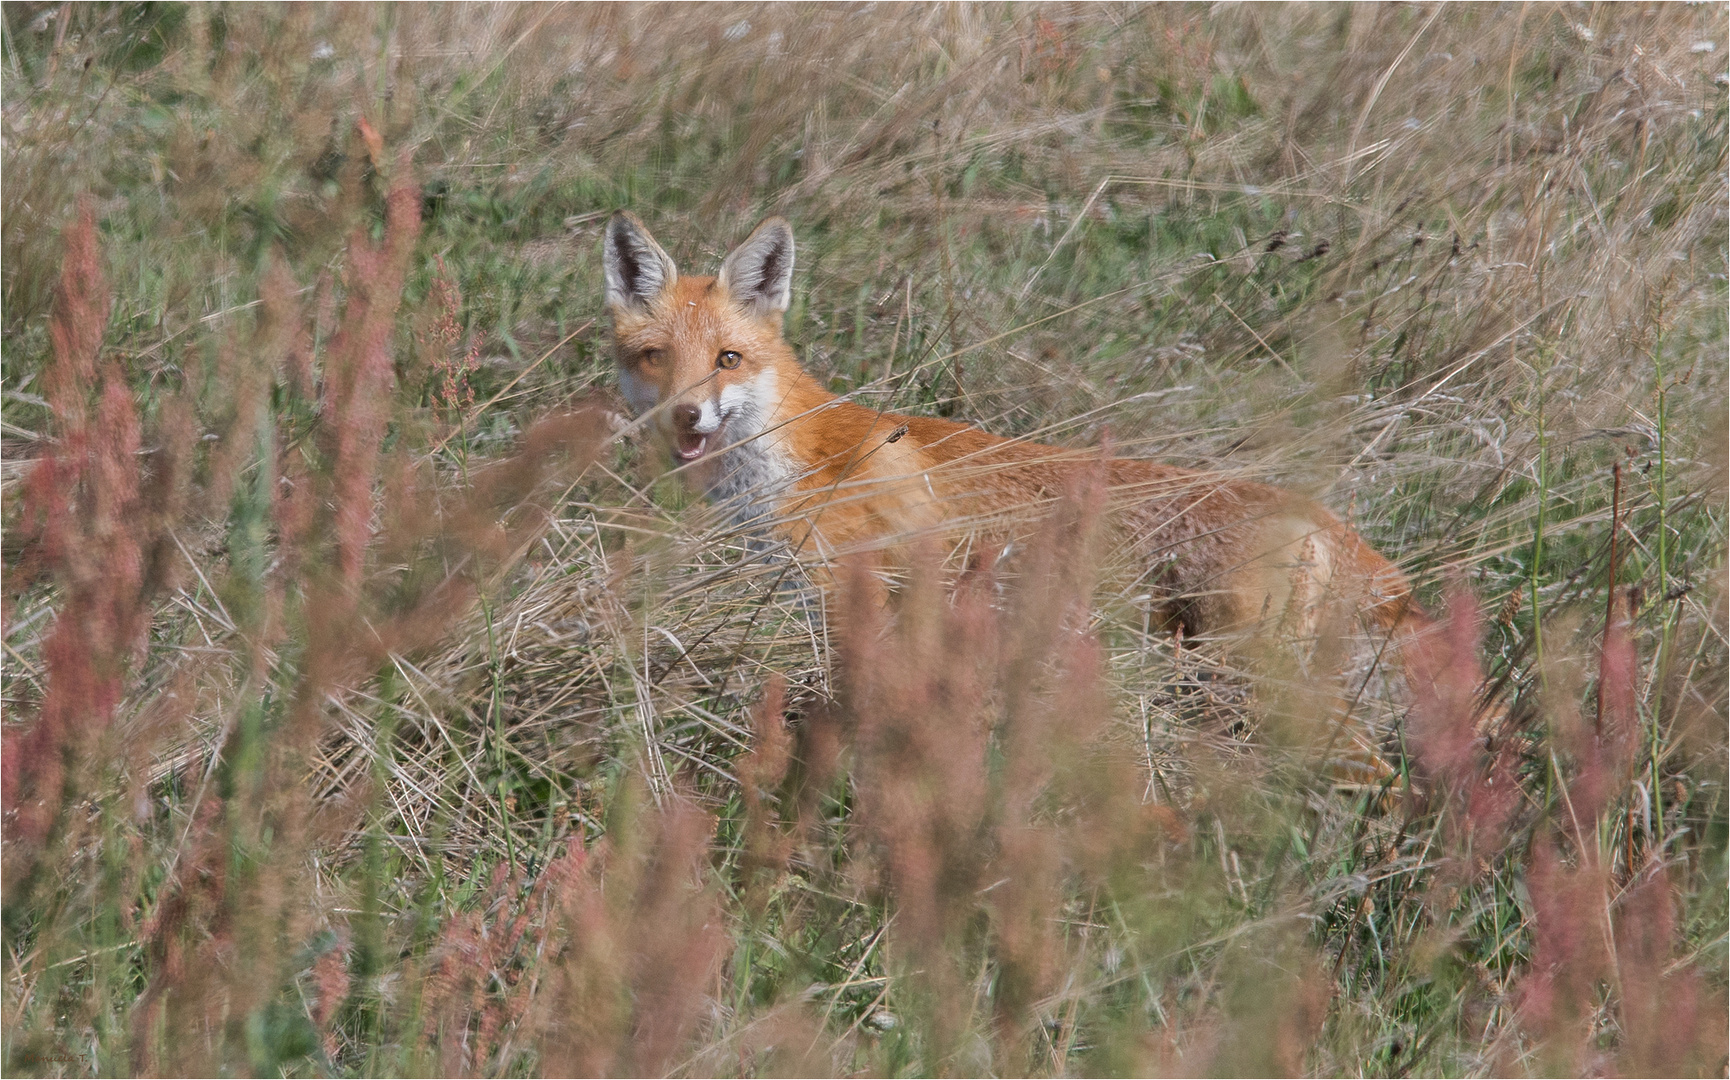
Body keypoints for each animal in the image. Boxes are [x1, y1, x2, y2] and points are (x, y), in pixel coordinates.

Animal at [605, 211, 1418, 640]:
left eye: (728, 358)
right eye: (656, 359)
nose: (685, 415)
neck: (783, 466)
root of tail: (1323, 518)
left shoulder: (848, 597)